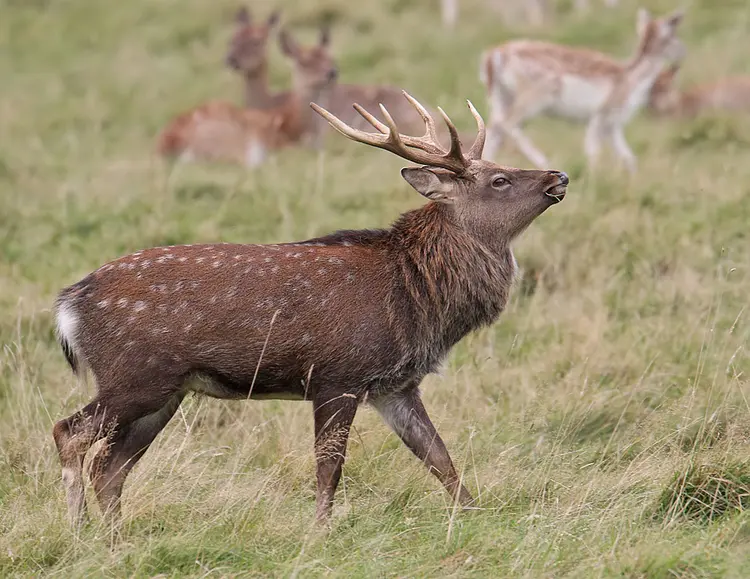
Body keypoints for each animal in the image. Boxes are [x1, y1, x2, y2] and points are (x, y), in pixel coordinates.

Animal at [53, 92, 568, 532]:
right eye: (499, 180)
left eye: (501, 167)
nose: (558, 177)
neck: (416, 295)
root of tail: (68, 305)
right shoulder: (337, 376)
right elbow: (329, 467)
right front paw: (320, 533)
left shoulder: (396, 386)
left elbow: (439, 458)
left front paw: (478, 517)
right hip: (135, 375)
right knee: (70, 434)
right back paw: (79, 533)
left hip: (166, 390)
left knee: (110, 465)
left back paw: (115, 539)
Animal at [482, 7, 688, 171]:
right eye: (672, 36)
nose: (683, 51)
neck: (631, 82)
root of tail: (493, 56)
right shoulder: (602, 113)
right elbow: (593, 150)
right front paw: (593, 178)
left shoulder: (613, 125)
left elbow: (628, 157)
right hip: (536, 95)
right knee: (507, 124)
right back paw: (545, 162)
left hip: (501, 97)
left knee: (493, 128)